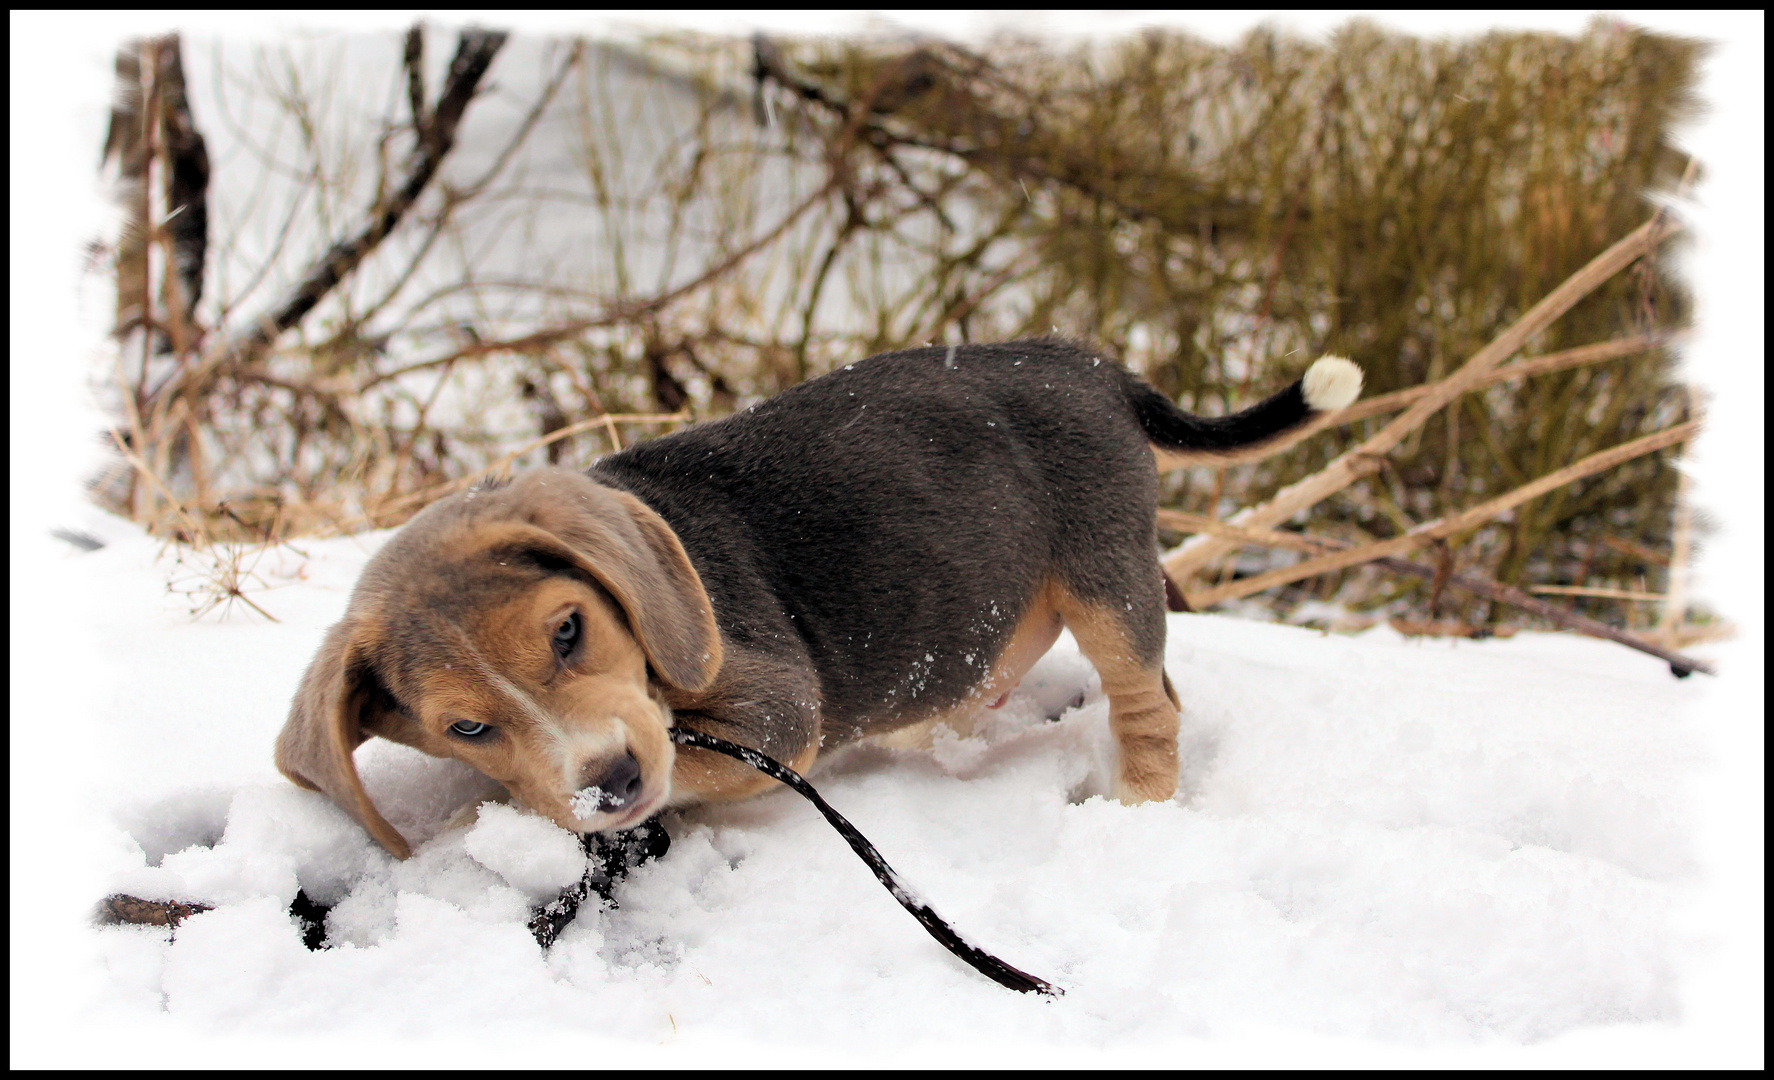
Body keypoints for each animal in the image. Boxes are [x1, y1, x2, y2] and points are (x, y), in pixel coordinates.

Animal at [280, 333, 1355, 854]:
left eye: (569, 631)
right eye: (465, 728)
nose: (610, 785)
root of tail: (1093, 366)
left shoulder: (773, 714)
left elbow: (693, 764)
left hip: (1108, 578)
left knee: (1150, 705)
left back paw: (1137, 807)